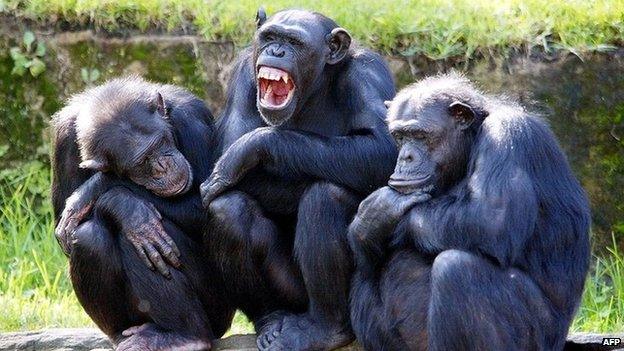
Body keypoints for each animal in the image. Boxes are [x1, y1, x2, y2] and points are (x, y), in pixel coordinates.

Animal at [51, 77, 234, 351]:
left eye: (160, 144)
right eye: (141, 162)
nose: (162, 166)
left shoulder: (193, 120)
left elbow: (208, 200)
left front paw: (99, 189)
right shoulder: (62, 139)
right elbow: (63, 228)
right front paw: (129, 209)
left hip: (218, 307)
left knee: (139, 240)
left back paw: (186, 337)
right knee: (89, 236)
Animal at [199, 8, 394, 351]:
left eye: (294, 42)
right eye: (270, 37)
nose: (277, 51)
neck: (312, 92)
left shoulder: (368, 73)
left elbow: (384, 148)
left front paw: (254, 146)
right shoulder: (243, 75)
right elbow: (226, 152)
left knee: (326, 195)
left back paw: (324, 328)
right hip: (288, 292)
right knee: (228, 210)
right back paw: (270, 319)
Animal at [348, 73, 592, 350]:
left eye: (419, 135)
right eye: (399, 136)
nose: (405, 157)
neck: (471, 142)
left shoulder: (506, 134)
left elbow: (492, 219)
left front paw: (379, 213)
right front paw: (365, 227)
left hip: (539, 337)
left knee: (458, 270)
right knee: (363, 277)